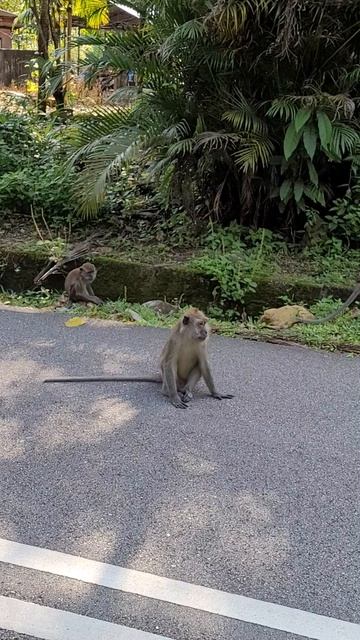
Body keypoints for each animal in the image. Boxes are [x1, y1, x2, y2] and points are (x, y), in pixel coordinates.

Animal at [43, 306, 233, 408]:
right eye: (200, 323)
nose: (206, 332)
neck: (188, 337)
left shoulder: (203, 344)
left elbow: (204, 364)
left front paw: (216, 393)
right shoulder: (174, 341)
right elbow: (168, 363)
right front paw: (173, 397)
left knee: (198, 368)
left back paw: (187, 391)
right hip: (171, 379)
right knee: (167, 371)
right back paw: (171, 391)